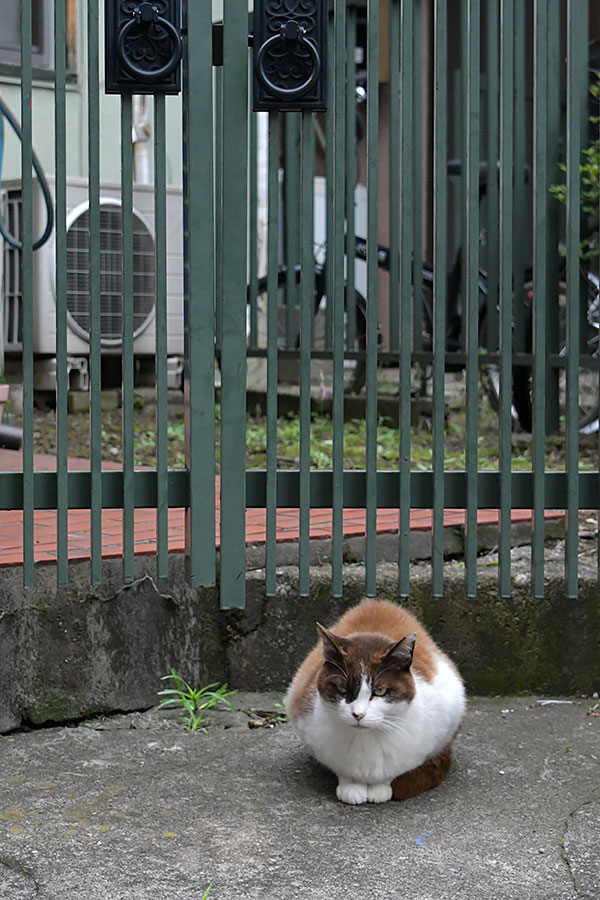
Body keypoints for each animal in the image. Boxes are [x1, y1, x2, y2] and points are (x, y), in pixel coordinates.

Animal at [284, 600, 464, 804]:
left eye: (380, 691)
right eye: (342, 689)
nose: (358, 714)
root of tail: (377, 603)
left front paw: (380, 788)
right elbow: (343, 771)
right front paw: (351, 786)